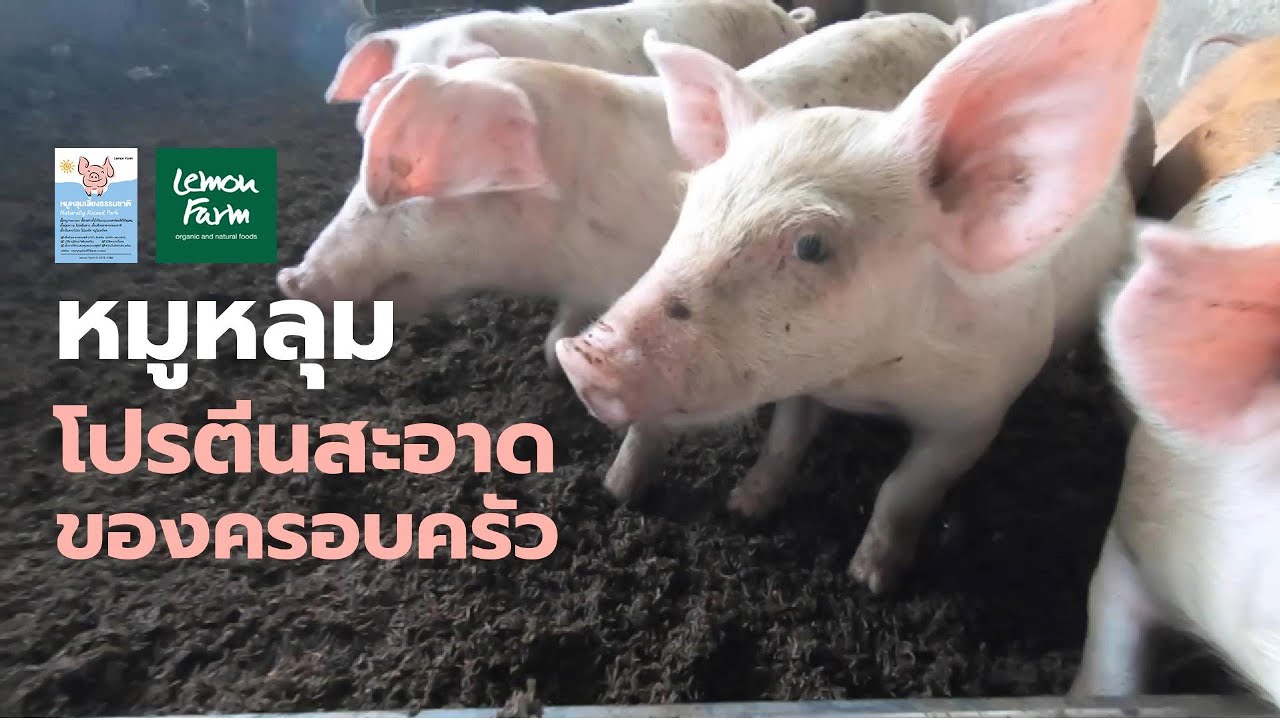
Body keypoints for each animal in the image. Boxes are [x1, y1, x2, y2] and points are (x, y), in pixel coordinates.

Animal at [555, 0, 1157, 593]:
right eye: (690, 204)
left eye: (811, 244)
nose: (582, 355)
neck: (868, 384)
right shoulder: (804, 381)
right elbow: (783, 442)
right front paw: (743, 508)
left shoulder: (975, 415)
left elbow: (903, 490)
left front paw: (870, 581)